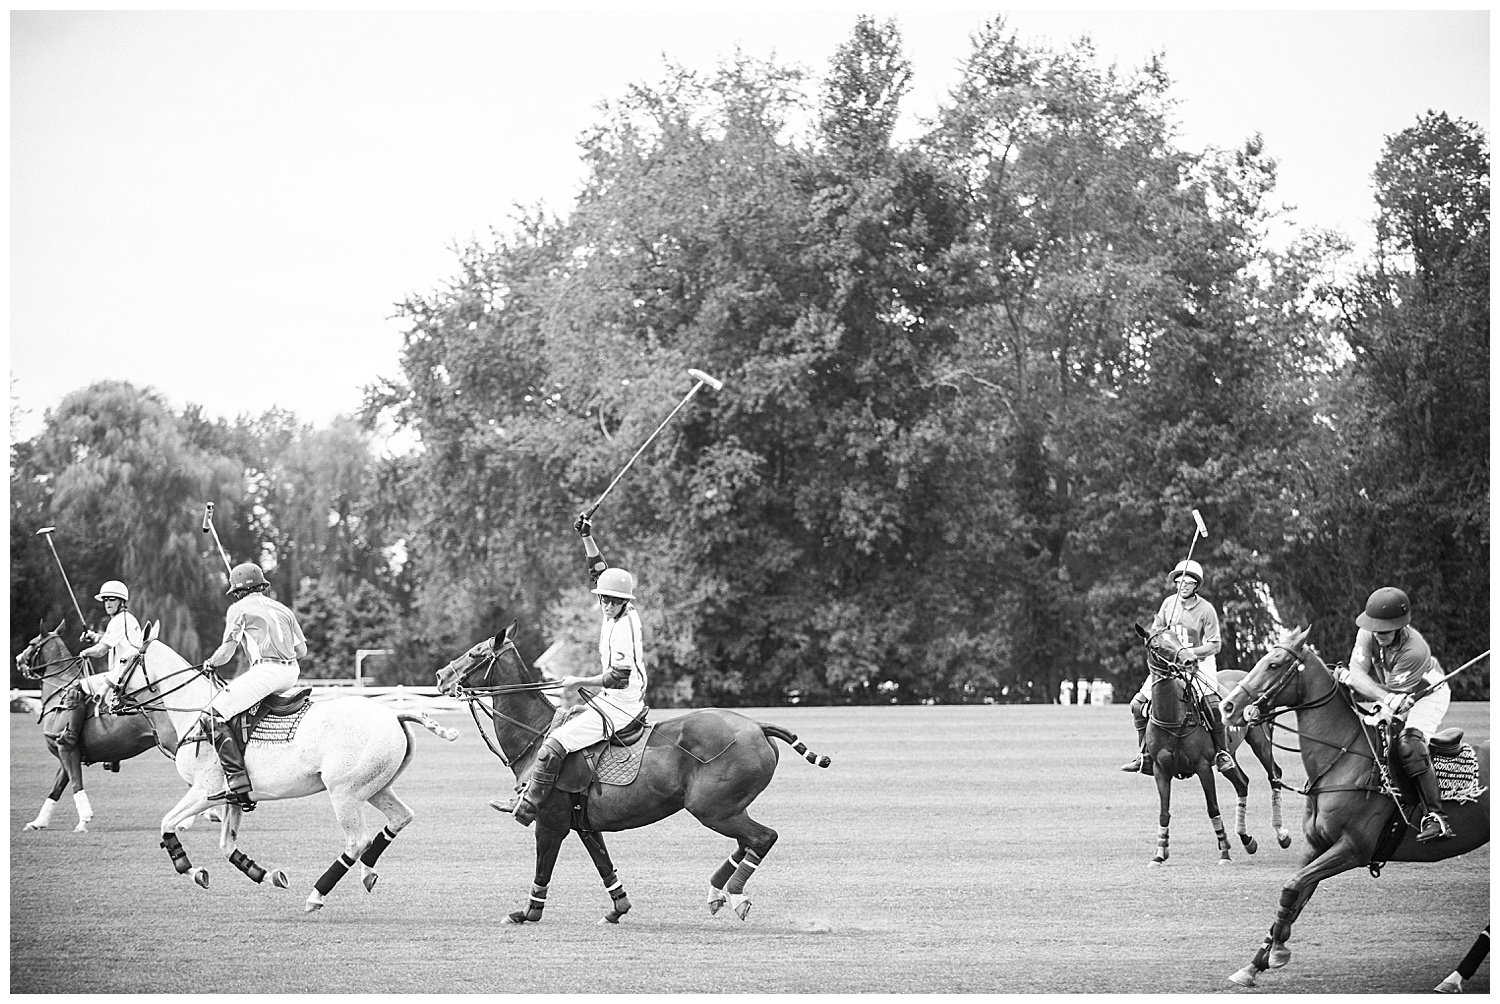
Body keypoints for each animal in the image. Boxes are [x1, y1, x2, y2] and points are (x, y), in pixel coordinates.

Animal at [13, 621, 171, 834]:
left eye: (32, 643)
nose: (18, 659)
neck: (58, 691)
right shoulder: (67, 752)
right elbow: (56, 788)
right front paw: (38, 822)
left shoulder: (67, 748)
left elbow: (76, 783)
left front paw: (83, 821)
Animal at [113, 621, 456, 912]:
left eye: (122, 659)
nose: (111, 700)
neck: (194, 709)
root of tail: (393, 715)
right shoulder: (233, 796)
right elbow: (227, 845)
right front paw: (267, 874)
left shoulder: (204, 789)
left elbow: (167, 824)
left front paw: (192, 869)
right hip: (375, 786)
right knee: (400, 817)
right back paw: (367, 873)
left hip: (344, 792)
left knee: (358, 841)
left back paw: (316, 894)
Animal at [435, 627, 834, 924]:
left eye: (475, 653)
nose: (440, 677)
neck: (536, 734)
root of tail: (758, 726)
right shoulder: (585, 824)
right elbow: (605, 865)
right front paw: (617, 909)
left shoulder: (550, 821)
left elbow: (543, 867)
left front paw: (527, 912)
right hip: (727, 807)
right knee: (747, 841)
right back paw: (717, 893)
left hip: (712, 808)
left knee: (763, 837)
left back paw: (735, 896)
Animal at [1134, 618, 1290, 864]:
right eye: (1157, 646)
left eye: (1177, 638)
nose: (1189, 661)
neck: (1173, 717)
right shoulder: (1160, 770)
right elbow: (1164, 811)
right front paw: (1159, 854)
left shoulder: (1203, 767)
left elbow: (1213, 808)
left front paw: (1224, 852)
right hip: (1229, 753)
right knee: (1242, 782)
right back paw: (1247, 840)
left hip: (1260, 741)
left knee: (1274, 775)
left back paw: (1281, 834)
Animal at [1218, 627, 1488, 984]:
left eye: (1274, 664)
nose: (1227, 706)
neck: (1341, 759)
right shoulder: (1316, 845)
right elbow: (1296, 894)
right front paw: (1256, 962)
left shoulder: (1354, 848)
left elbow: (1292, 887)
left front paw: (1276, 953)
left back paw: (1456, 976)